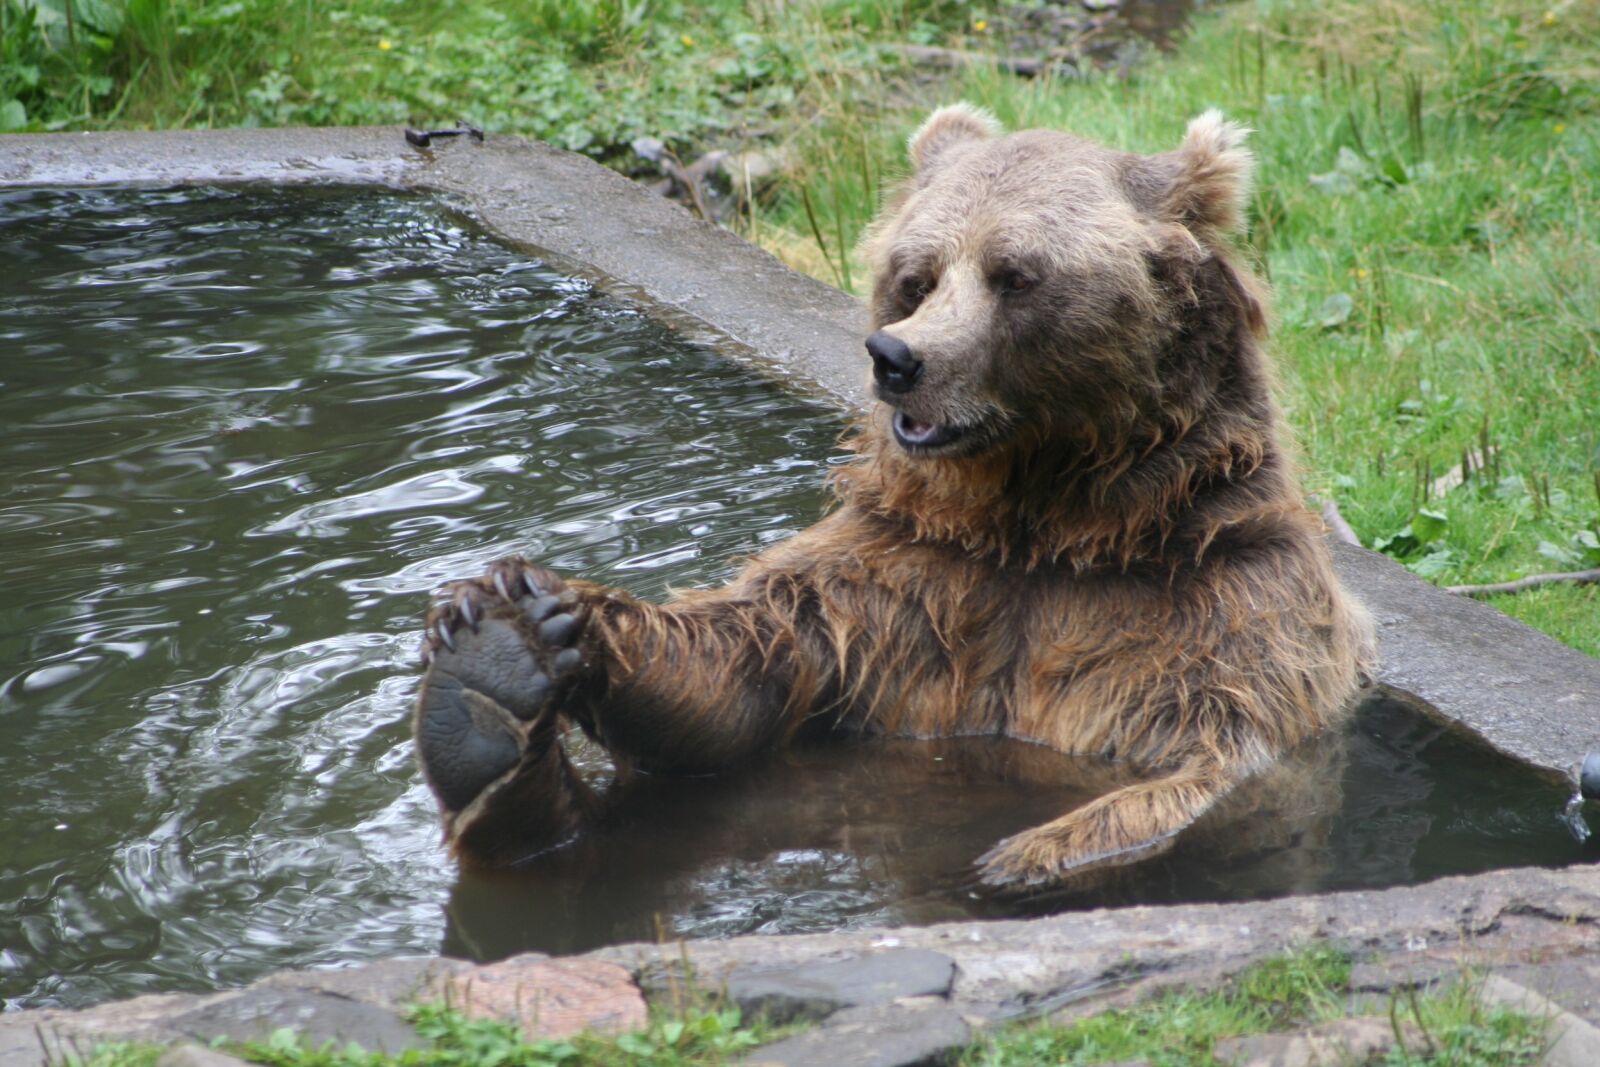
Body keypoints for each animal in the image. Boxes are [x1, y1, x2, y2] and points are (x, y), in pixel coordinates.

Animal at [410, 104, 1376, 889]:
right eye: (918, 273)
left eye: (1015, 273)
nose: (898, 356)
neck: (1045, 524)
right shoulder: (902, 582)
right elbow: (743, 662)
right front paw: (525, 610)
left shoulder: (1215, 598)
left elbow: (1220, 761)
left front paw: (1027, 851)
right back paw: (488, 704)